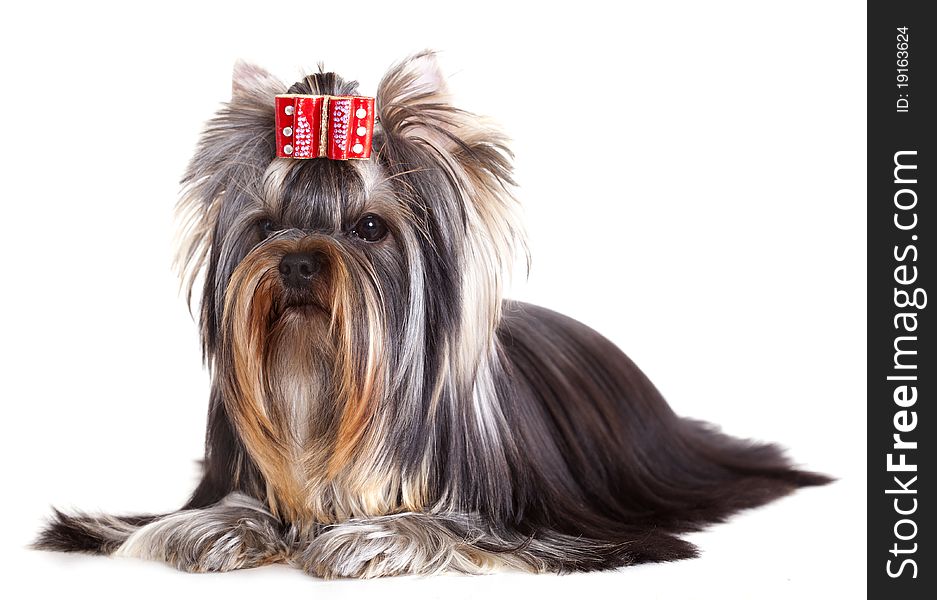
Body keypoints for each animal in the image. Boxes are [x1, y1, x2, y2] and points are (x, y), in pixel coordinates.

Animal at [34, 51, 828, 576]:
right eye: (266, 226)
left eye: (369, 228)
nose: (296, 261)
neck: (316, 382)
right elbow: (211, 513)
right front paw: (220, 528)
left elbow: (444, 526)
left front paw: (370, 537)